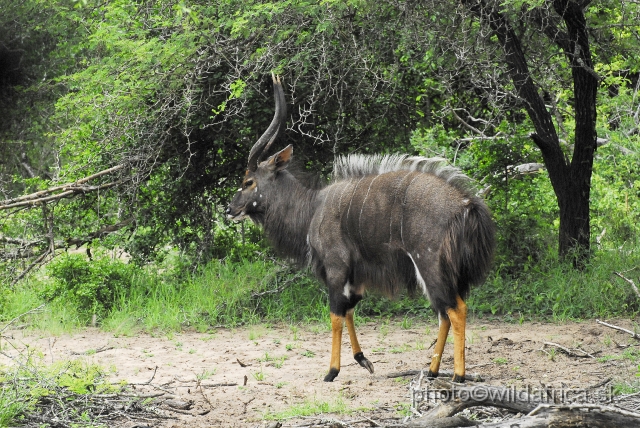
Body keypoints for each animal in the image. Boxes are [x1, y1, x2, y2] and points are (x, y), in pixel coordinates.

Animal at [228, 75, 498, 382]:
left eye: (248, 181)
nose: (229, 209)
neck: (312, 208)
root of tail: (466, 204)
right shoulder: (355, 276)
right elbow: (349, 311)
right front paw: (363, 360)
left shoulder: (336, 267)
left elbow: (335, 314)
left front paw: (331, 371)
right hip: (444, 273)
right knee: (444, 311)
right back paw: (431, 370)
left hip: (430, 263)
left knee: (455, 309)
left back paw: (458, 376)